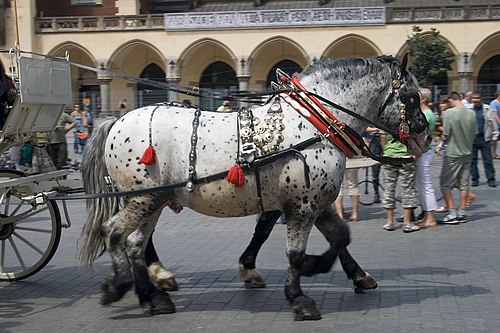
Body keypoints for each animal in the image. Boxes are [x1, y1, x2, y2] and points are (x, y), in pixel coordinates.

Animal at [79, 54, 430, 320]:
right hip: (143, 198)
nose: (425, 136)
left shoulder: (316, 200)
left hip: (152, 199)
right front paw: (299, 296)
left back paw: (153, 296)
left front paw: (345, 273)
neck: (313, 124)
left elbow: (339, 236)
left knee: (135, 243)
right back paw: (120, 286)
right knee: (115, 233)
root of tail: (115, 121)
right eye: (413, 97)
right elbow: (294, 252)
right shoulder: (302, 204)